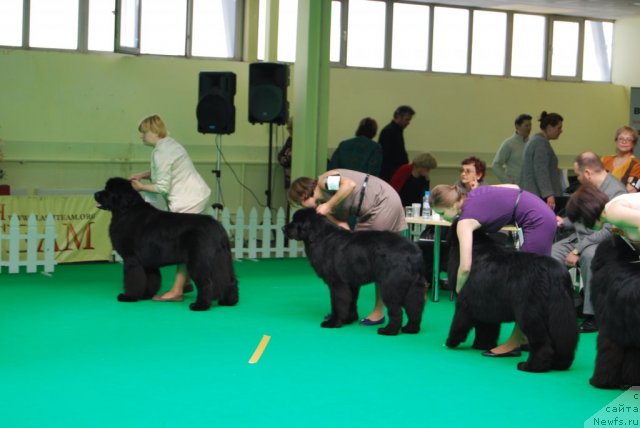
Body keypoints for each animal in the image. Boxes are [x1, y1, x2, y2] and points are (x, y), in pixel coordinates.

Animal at [97, 177, 240, 310]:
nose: (96, 194)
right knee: (230, 280)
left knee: (206, 282)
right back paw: (229, 302)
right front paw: (145, 295)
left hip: (199, 260)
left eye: (109, 190)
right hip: (221, 260)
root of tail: (217, 226)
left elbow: (132, 279)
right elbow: (151, 279)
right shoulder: (148, 262)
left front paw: (128, 297)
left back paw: (200, 306)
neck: (126, 210)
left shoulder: (131, 259)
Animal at [284, 209, 424, 336]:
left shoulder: (337, 283)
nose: (282, 228)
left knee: (397, 311)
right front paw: (348, 319)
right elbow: (351, 302)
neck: (319, 237)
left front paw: (333, 322)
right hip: (414, 287)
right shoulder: (351, 283)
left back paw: (388, 331)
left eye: (295, 222)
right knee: (415, 307)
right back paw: (411, 328)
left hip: (390, 286)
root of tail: (413, 251)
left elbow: (337, 303)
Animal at [444, 224, 580, 372]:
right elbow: (487, 329)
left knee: (542, 343)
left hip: (530, 314)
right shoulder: (486, 307)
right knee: (563, 340)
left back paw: (531, 366)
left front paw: (450, 341)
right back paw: (559, 364)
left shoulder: (465, 304)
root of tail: (555, 273)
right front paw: (482, 345)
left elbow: (458, 323)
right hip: (560, 313)